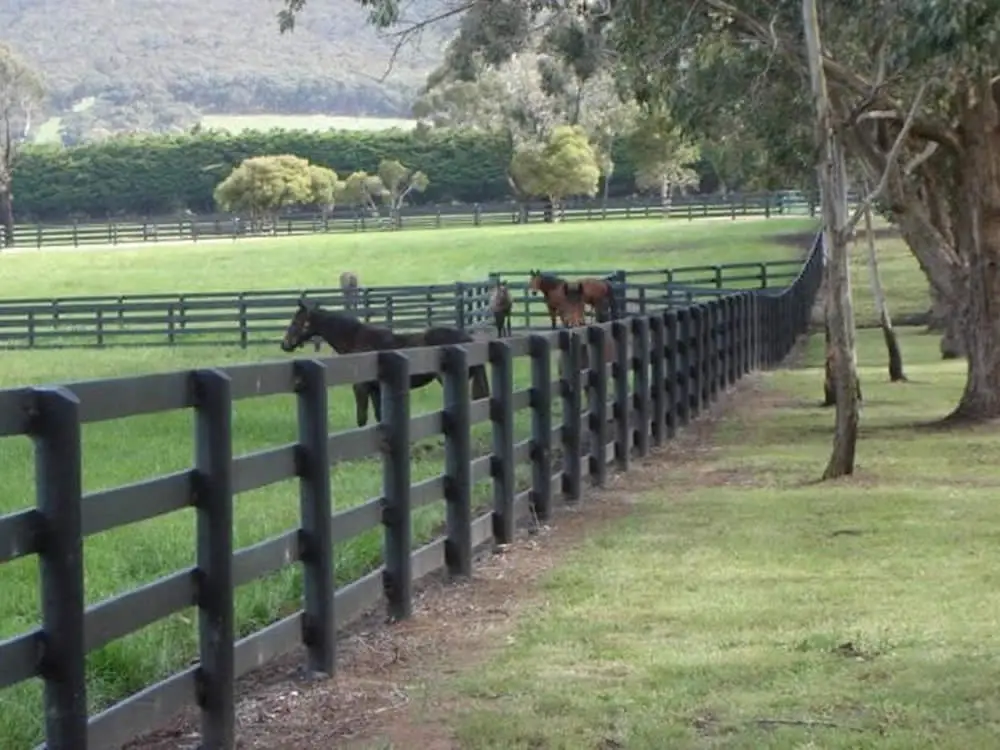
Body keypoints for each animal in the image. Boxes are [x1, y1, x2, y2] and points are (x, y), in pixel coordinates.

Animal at [280, 302, 490, 428]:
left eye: (296, 321)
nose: (285, 344)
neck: (356, 340)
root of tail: (469, 339)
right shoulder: (376, 389)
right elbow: (379, 416)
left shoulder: (361, 388)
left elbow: (362, 419)